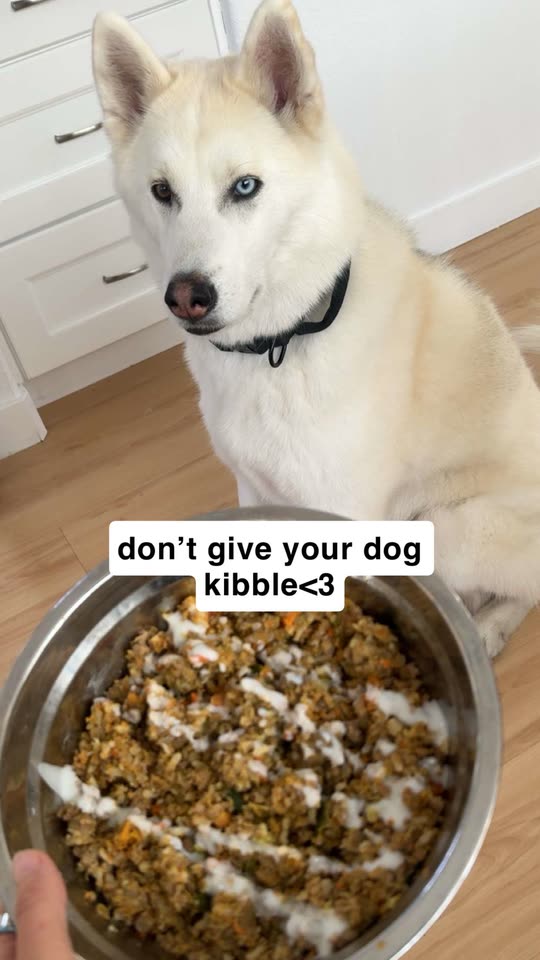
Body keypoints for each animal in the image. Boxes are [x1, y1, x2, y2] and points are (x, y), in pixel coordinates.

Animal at [93, 0, 540, 657]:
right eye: (162, 192)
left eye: (244, 186)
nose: (187, 298)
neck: (280, 344)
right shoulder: (253, 493)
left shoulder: (343, 513)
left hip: (447, 525)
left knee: (523, 589)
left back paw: (487, 628)